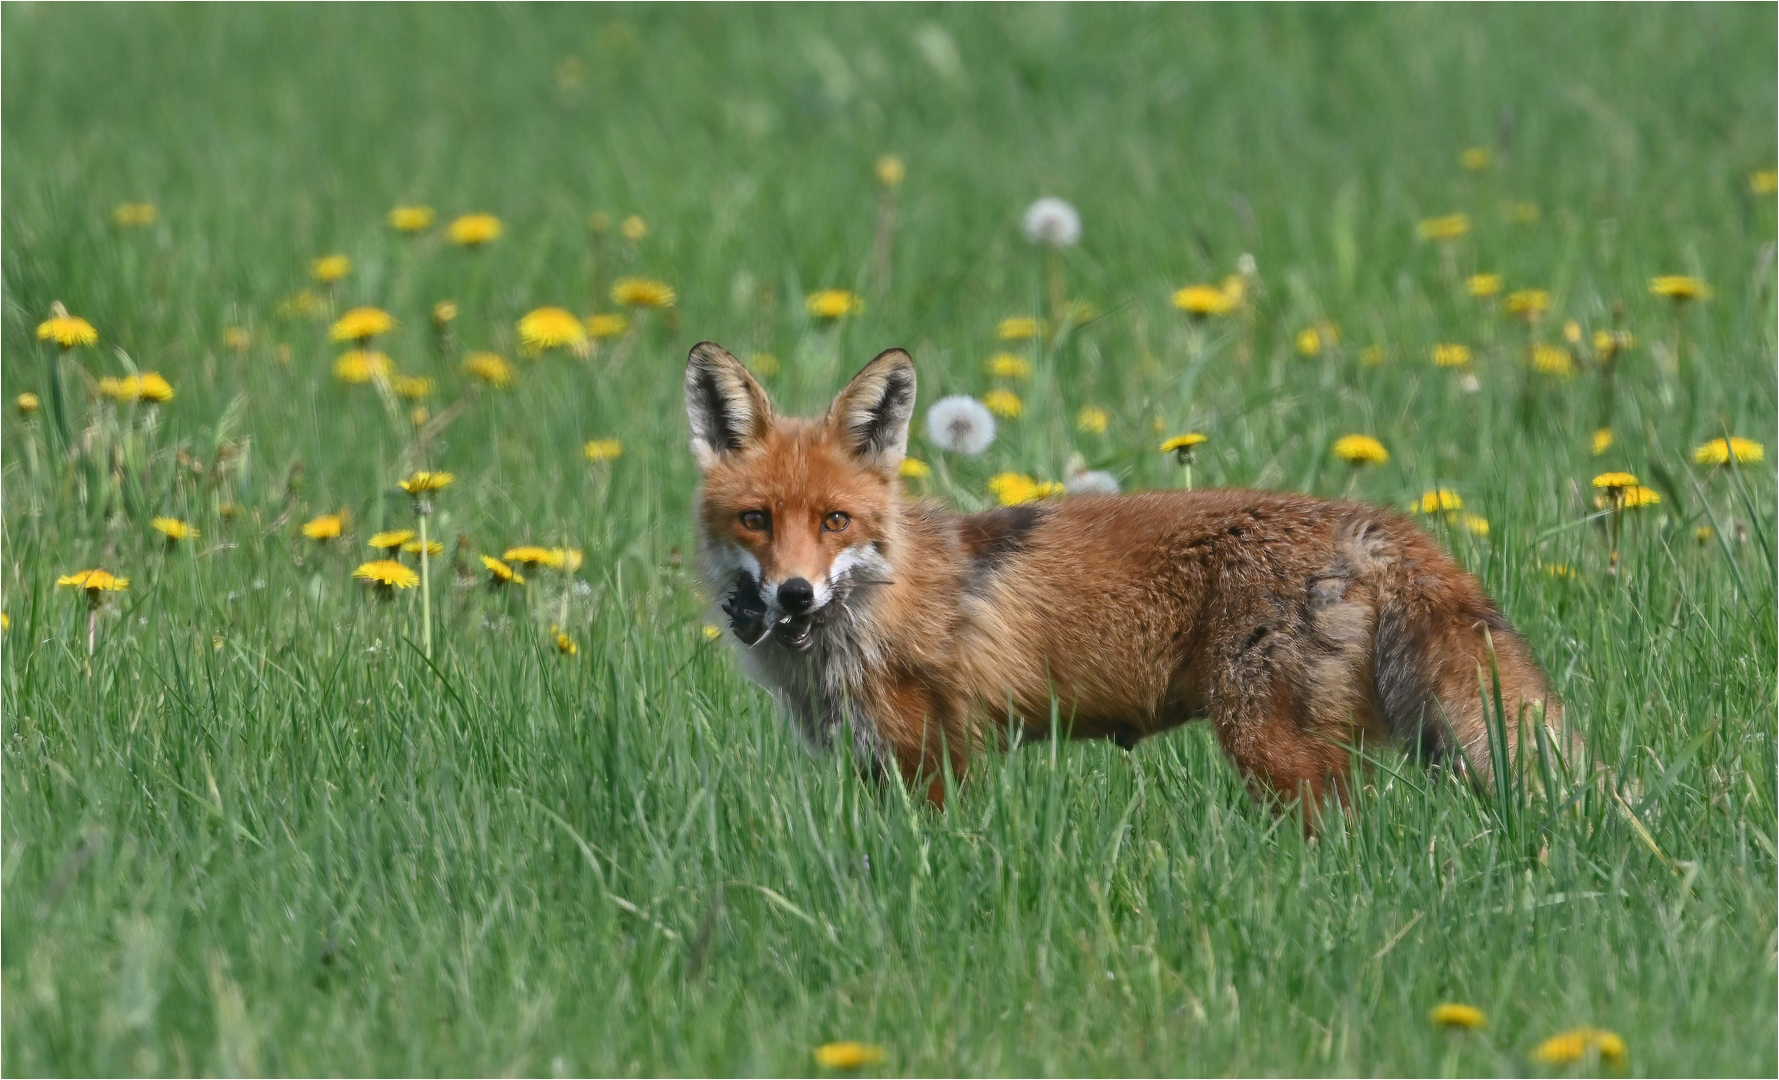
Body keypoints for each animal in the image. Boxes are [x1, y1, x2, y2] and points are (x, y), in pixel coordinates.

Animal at [686, 339, 1565, 811]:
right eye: (756, 520)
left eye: (834, 521)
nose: (794, 592)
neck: (873, 601)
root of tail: (1371, 523)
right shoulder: (876, 764)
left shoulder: (932, 757)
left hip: (1267, 743)